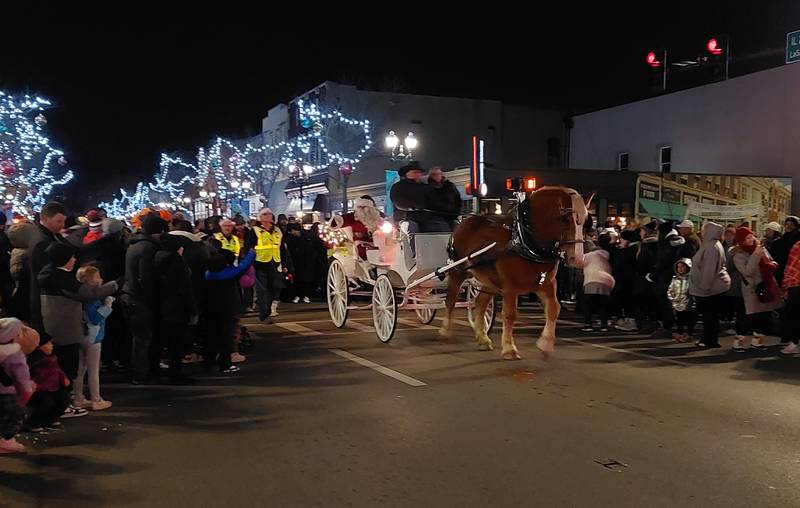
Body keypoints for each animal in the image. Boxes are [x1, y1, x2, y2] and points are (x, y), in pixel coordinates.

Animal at [440, 188, 592, 362]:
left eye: (585, 220)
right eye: (566, 219)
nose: (578, 259)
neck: (525, 239)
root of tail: (464, 222)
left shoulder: (546, 283)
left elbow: (554, 309)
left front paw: (545, 344)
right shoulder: (510, 286)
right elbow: (510, 315)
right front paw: (509, 348)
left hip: (490, 280)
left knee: (480, 303)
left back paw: (483, 338)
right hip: (458, 271)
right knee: (450, 300)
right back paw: (445, 332)